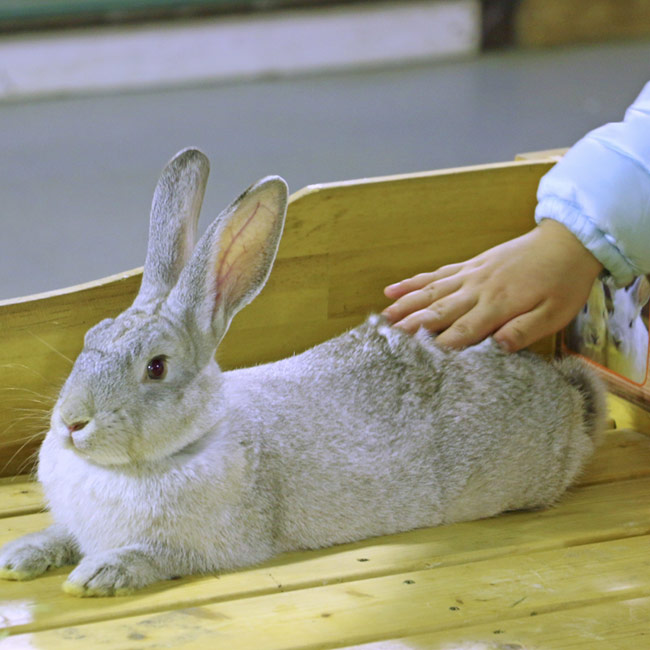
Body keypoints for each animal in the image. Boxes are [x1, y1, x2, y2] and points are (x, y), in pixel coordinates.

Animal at [0, 149, 604, 596]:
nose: (71, 423)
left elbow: (157, 555)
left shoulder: (208, 546)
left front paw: (100, 575)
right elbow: (63, 534)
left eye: (156, 367)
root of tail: (569, 393)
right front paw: (22, 555)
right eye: (91, 337)